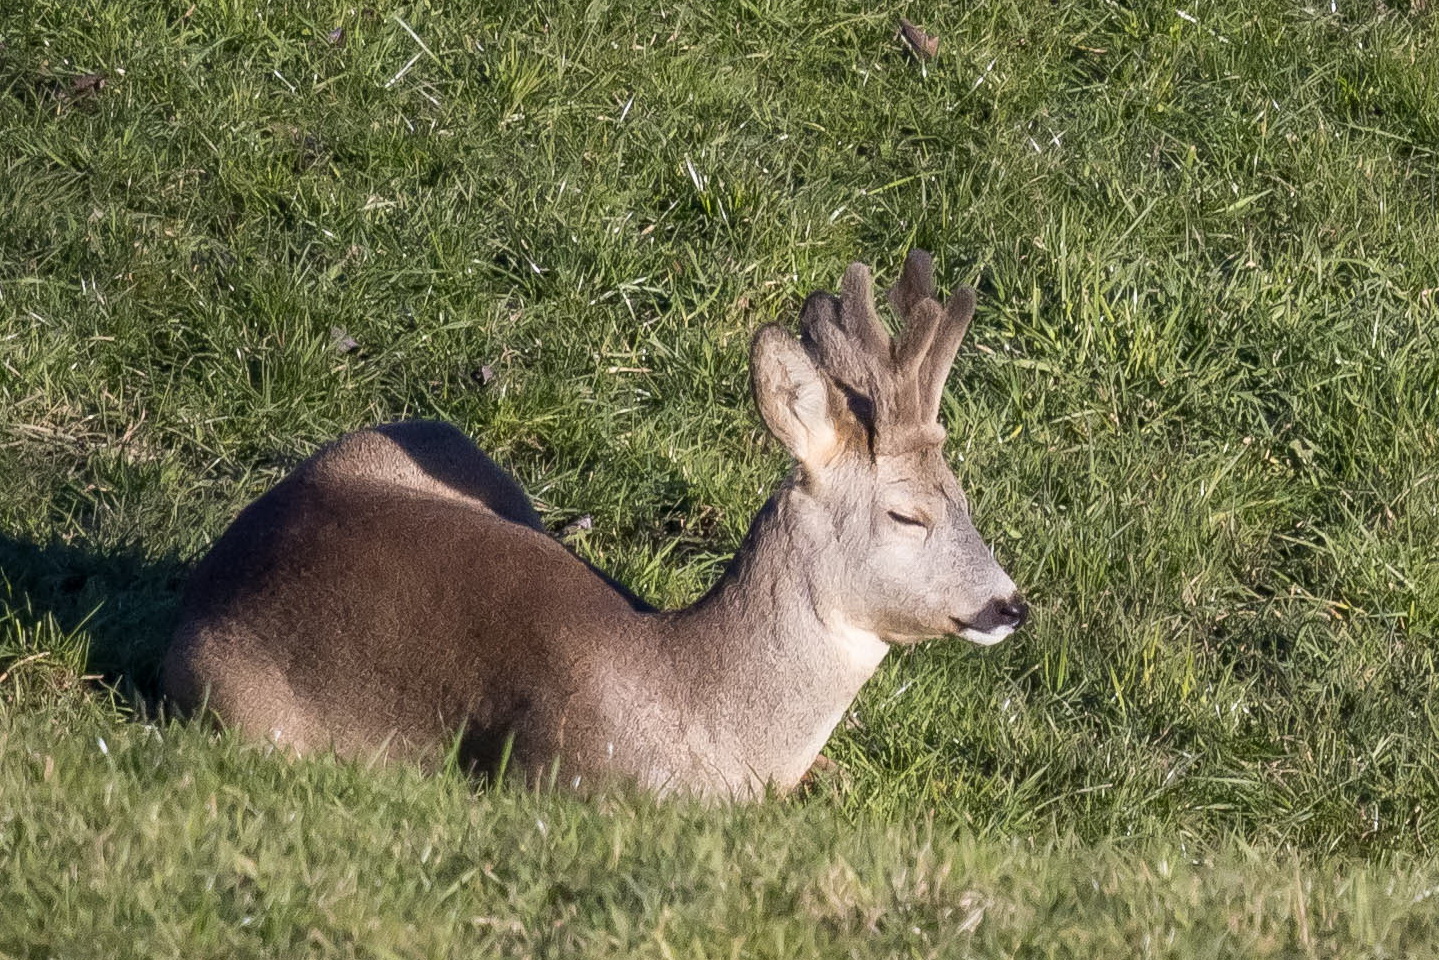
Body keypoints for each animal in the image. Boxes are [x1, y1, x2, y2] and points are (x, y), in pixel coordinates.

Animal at [165, 251, 1024, 800]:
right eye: (907, 513)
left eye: (964, 496)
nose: (1009, 604)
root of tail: (227, 555)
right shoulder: (559, 775)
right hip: (243, 711)